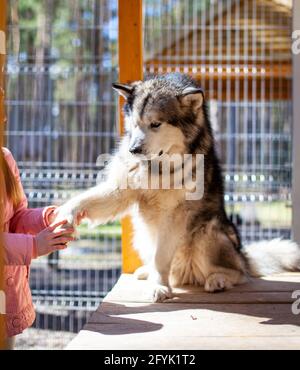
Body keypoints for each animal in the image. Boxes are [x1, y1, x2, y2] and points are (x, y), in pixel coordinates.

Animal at [55, 73, 300, 302]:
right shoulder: (120, 191)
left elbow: (161, 257)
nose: (134, 150)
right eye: (135, 125)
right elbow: (85, 199)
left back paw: (217, 279)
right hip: (141, 236)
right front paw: (65, 213)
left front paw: (159, 287)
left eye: (155, 124)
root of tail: (243, 256)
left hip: (207, 233)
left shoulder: (175, 215)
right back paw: (147, 272)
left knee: (239, 274)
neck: (158, 167)